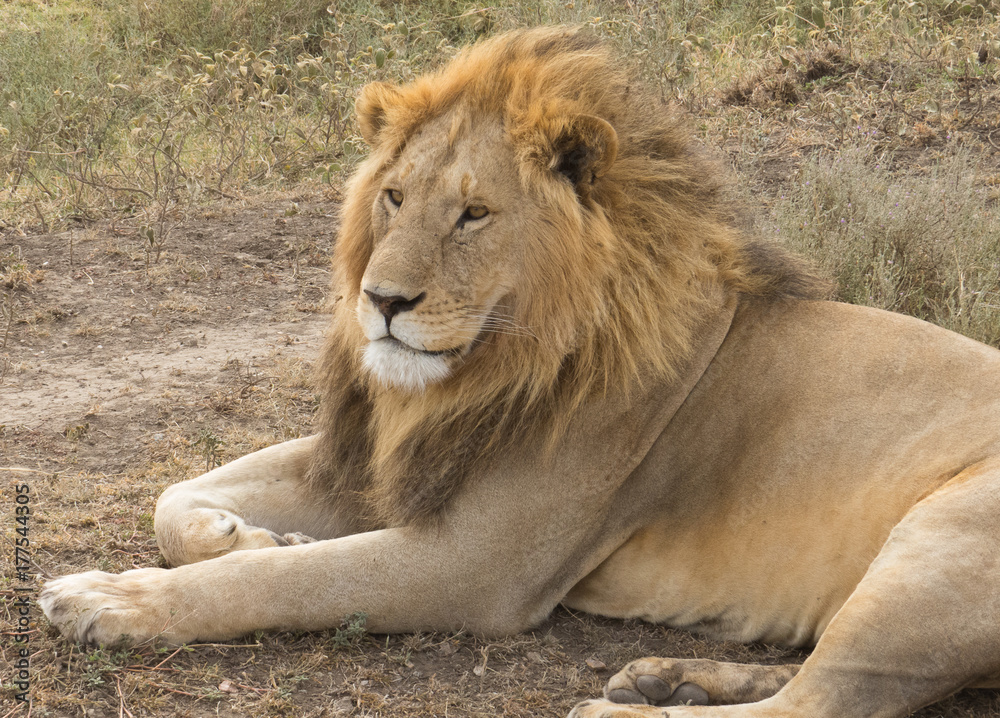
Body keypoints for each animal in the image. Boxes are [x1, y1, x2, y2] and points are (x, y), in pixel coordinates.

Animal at [41, 26, 1000, 718]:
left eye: (474, 215)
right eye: (394, 197)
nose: (382, 300)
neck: (480, 372)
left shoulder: (478, 565)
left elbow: (284, 583)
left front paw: (111, 600)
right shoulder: (392, 459)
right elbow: (179, 495)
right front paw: (247, 533)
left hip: (939, 544)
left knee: (828, 702)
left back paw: (625, 711)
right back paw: (668, 677)